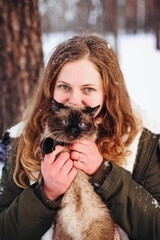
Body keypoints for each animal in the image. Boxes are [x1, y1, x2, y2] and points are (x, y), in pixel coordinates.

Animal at [40, 99, 114, 240]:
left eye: (81, 124)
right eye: (65, 122)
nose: (73, 130)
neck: (67, 146)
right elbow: (46, 141)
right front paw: (50, 148)